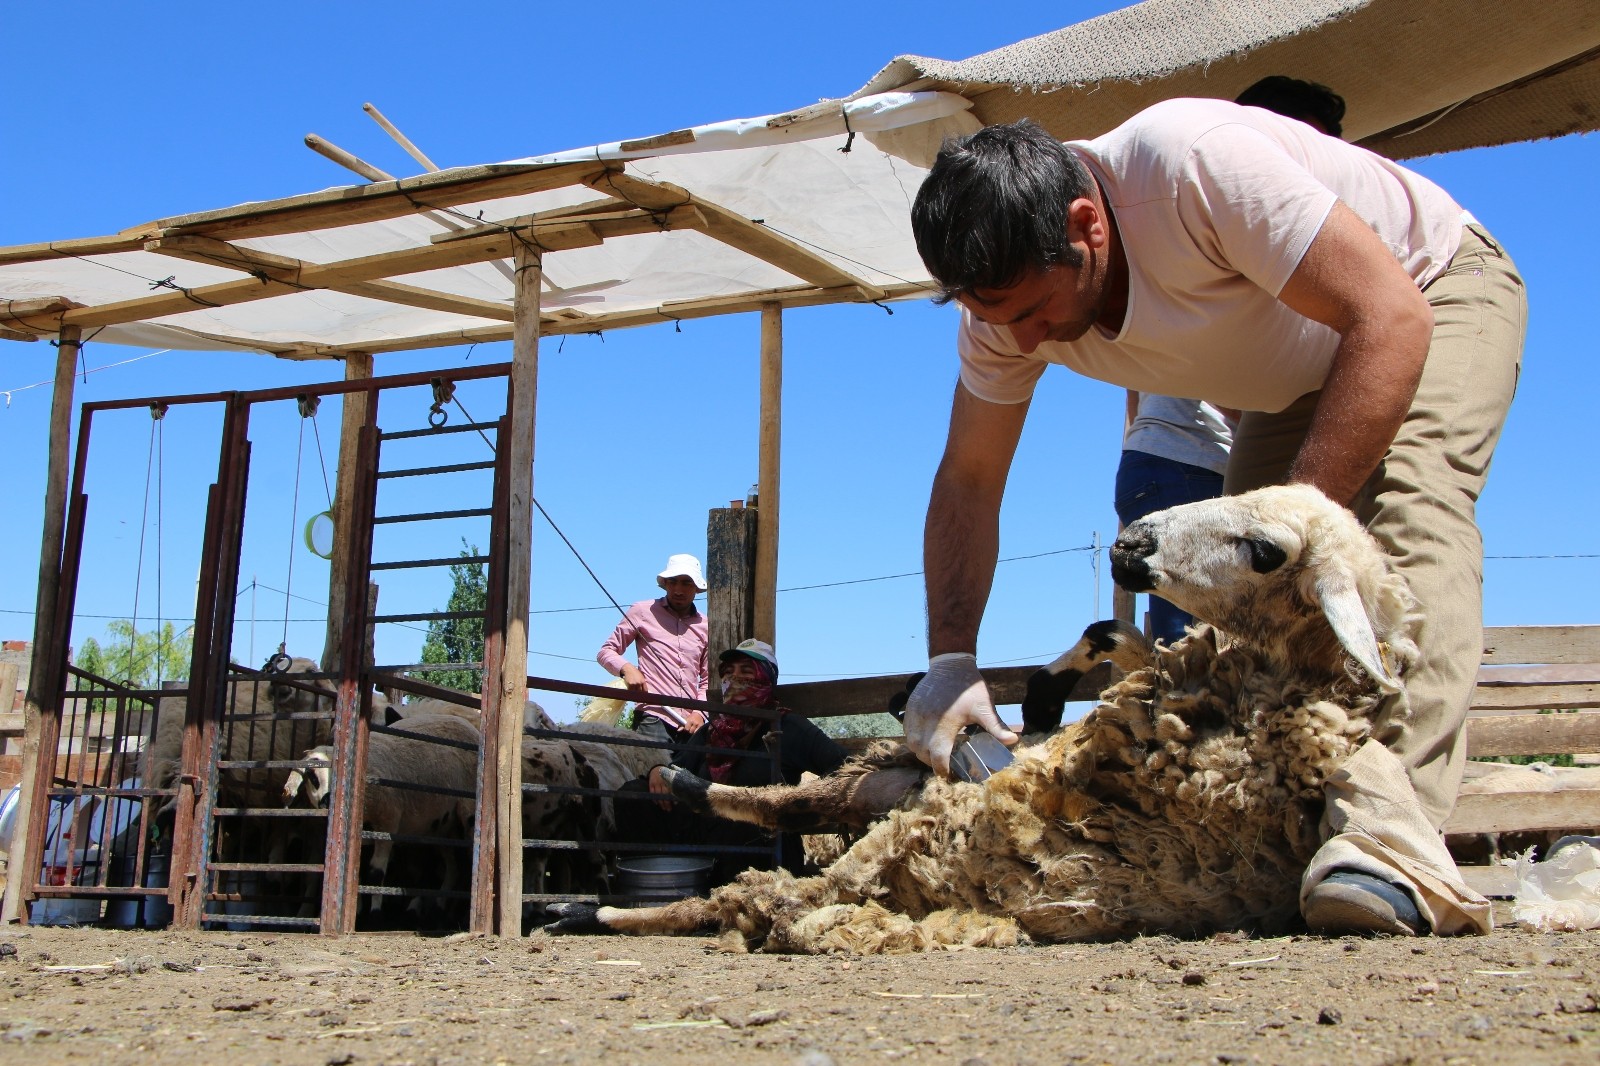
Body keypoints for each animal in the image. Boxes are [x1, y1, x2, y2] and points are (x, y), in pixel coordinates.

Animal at [540, 486, 1472, 947]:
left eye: (1266, 550)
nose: (1130, 543)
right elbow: (1106, 652)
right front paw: (1058, 679)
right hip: (886, 786)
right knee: (785, 805)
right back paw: (678, 789)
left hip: (883, 834)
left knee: (758, 887)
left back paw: (597, 906)